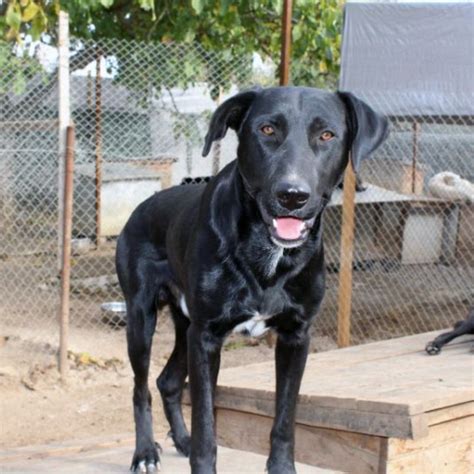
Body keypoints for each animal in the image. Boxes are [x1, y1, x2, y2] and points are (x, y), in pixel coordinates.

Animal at [115, 87, 388, 472]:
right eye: (267, 130)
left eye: (327, 135)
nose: (292, 195)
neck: (268, 253)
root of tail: (142, 205)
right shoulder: (207, 336)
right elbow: (207, 429)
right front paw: (198, 456)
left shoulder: (295, 336)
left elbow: (285, 420)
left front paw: (282, 467)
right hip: (142, 319)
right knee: (141, 388)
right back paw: (144, 453)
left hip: (185, 326)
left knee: (167, 381)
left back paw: (181, 439)